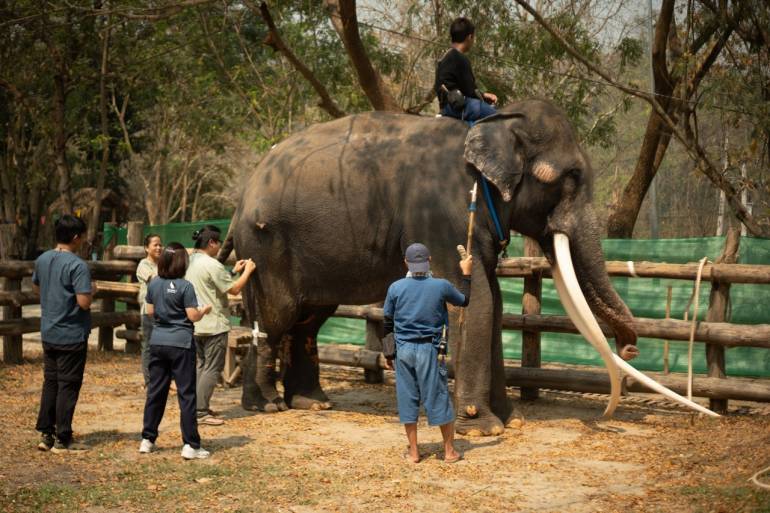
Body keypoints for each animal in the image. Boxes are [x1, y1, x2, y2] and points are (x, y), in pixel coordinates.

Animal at [224, 98, 640, 434]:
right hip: (265, 246)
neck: (493, 122)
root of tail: (243, 198)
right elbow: (475, 302)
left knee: (309, 319)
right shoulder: (441, 216)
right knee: (276, 316)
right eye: (571, 177)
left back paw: (312, 403)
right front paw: (484, 428)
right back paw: (265, 405)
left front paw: (510, 421)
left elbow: (493, 304)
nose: (630, 349)